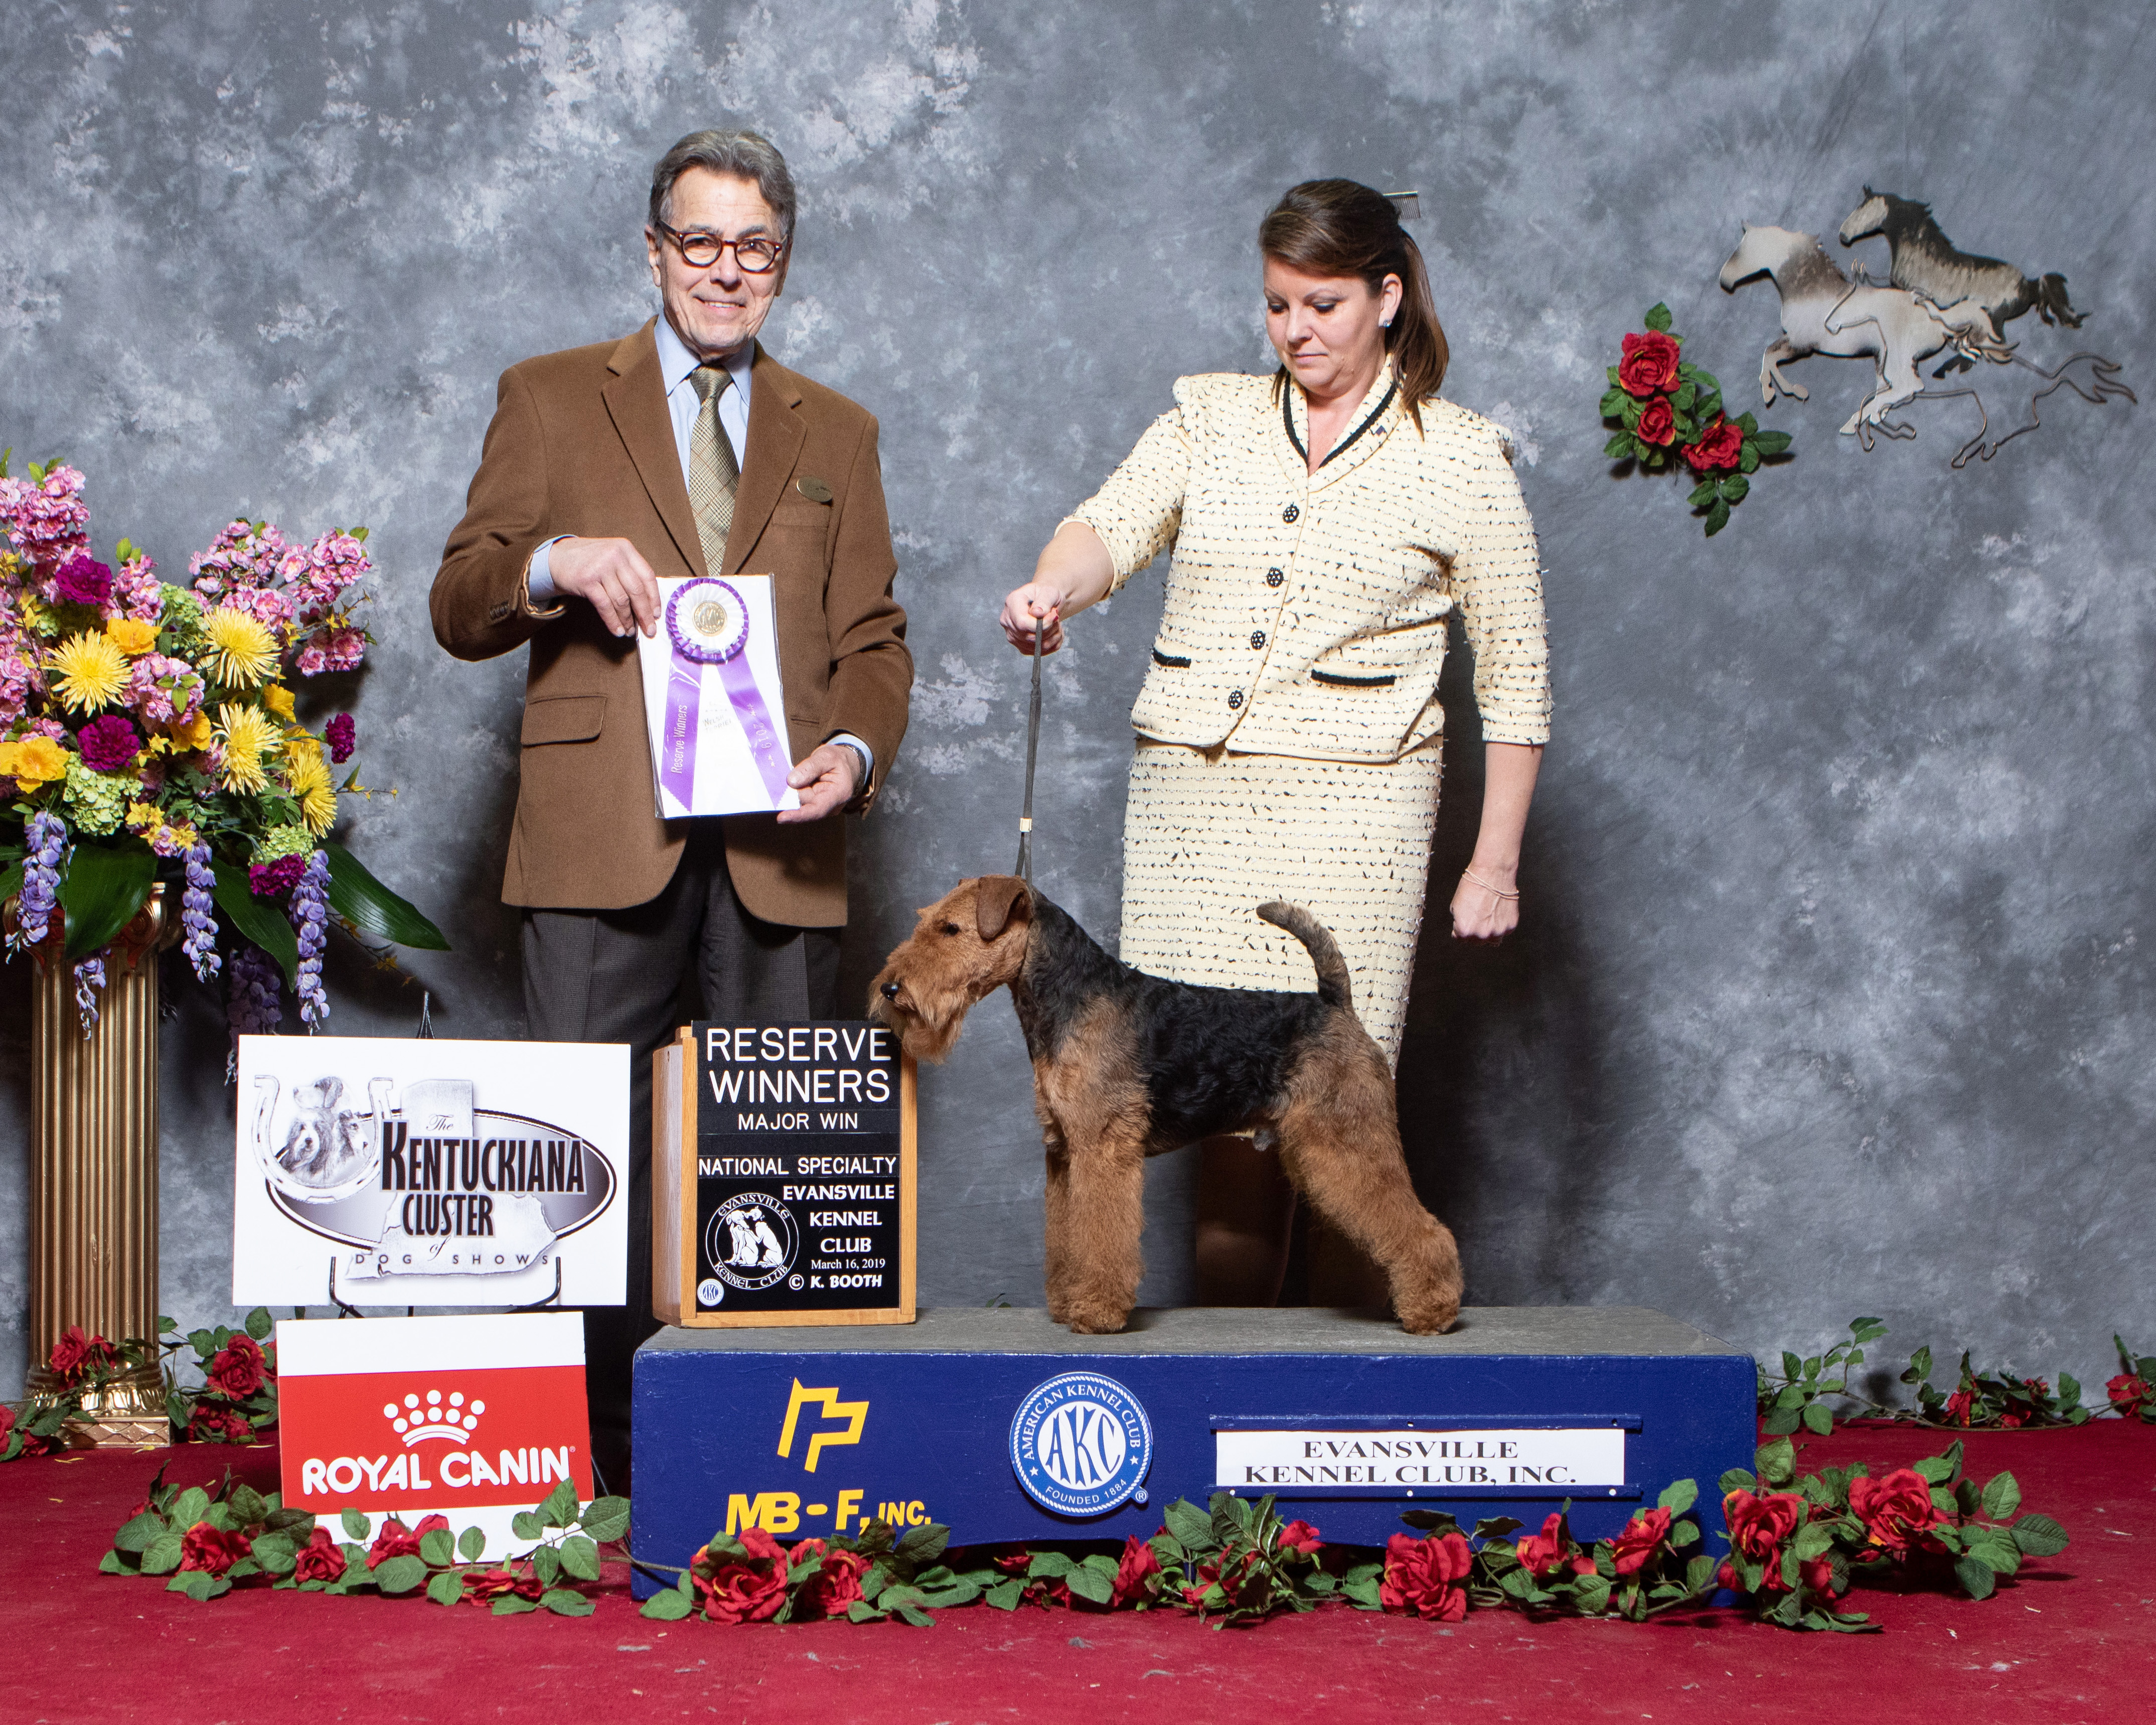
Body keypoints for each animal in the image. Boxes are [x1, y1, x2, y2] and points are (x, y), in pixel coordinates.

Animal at [866, 875, 1457, 1337]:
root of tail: (1336, 1004)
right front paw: (1067, 1302)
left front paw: (1096, 1312)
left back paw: (1432, 1312)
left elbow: (1101, 1236)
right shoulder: (1063, 1150)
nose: (891, 989)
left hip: (1346, 1140)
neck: (1070, 998)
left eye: (950, 929)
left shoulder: (1102, 1147)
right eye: (930, 923)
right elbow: (1067, 1235)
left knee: (1423, 1230)